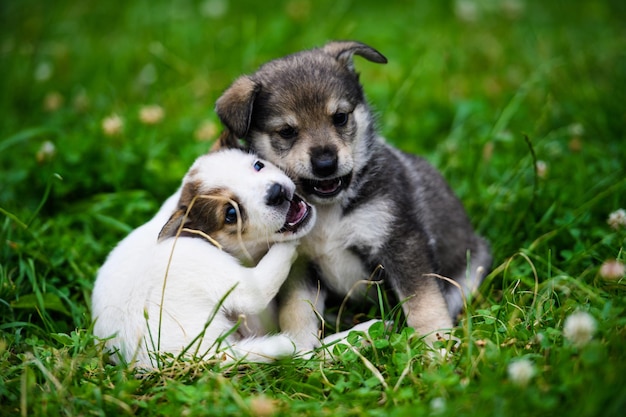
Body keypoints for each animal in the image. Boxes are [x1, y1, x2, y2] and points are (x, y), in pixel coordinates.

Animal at [214, 42, 492, 350]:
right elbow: (297, 309)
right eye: (286, 131)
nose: (325, 164)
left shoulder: (401, 242)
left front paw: (435, 344)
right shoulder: (300, 266)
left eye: (340, 117)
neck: (328, 212)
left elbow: (424, 301)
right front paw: (301, 348)